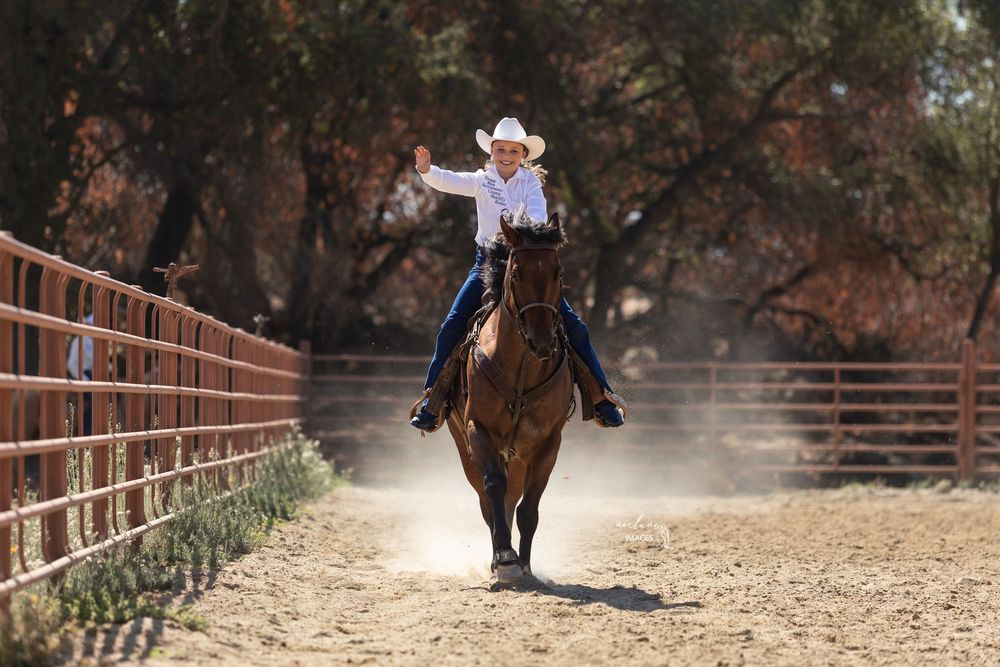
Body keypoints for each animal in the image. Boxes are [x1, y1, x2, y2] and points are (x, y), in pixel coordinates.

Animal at [445, 209, 574, 583]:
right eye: (516, 273)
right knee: (489, 501)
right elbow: (493, 489)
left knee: (512, 498)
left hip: (518, 455)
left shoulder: (548, 442)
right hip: (465, 446)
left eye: (559, 273)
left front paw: (526, 566)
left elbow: (528, 507)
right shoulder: (478, 430)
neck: (521, 370)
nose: (542, 341)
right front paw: (504, 559)